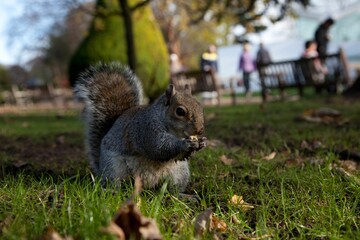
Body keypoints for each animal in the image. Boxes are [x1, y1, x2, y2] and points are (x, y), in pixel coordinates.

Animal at [74, 61, 207, 191]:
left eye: (199, 105)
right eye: (180, 111)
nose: (200, 130)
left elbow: (178, 156)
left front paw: (202, 142)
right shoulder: (146, 130)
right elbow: (159, 147)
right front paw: (184, 143)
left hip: (180, 172)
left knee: (174, 189)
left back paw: (182, 195)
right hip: (113, 167)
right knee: (113, 182)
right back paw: (112, 191)